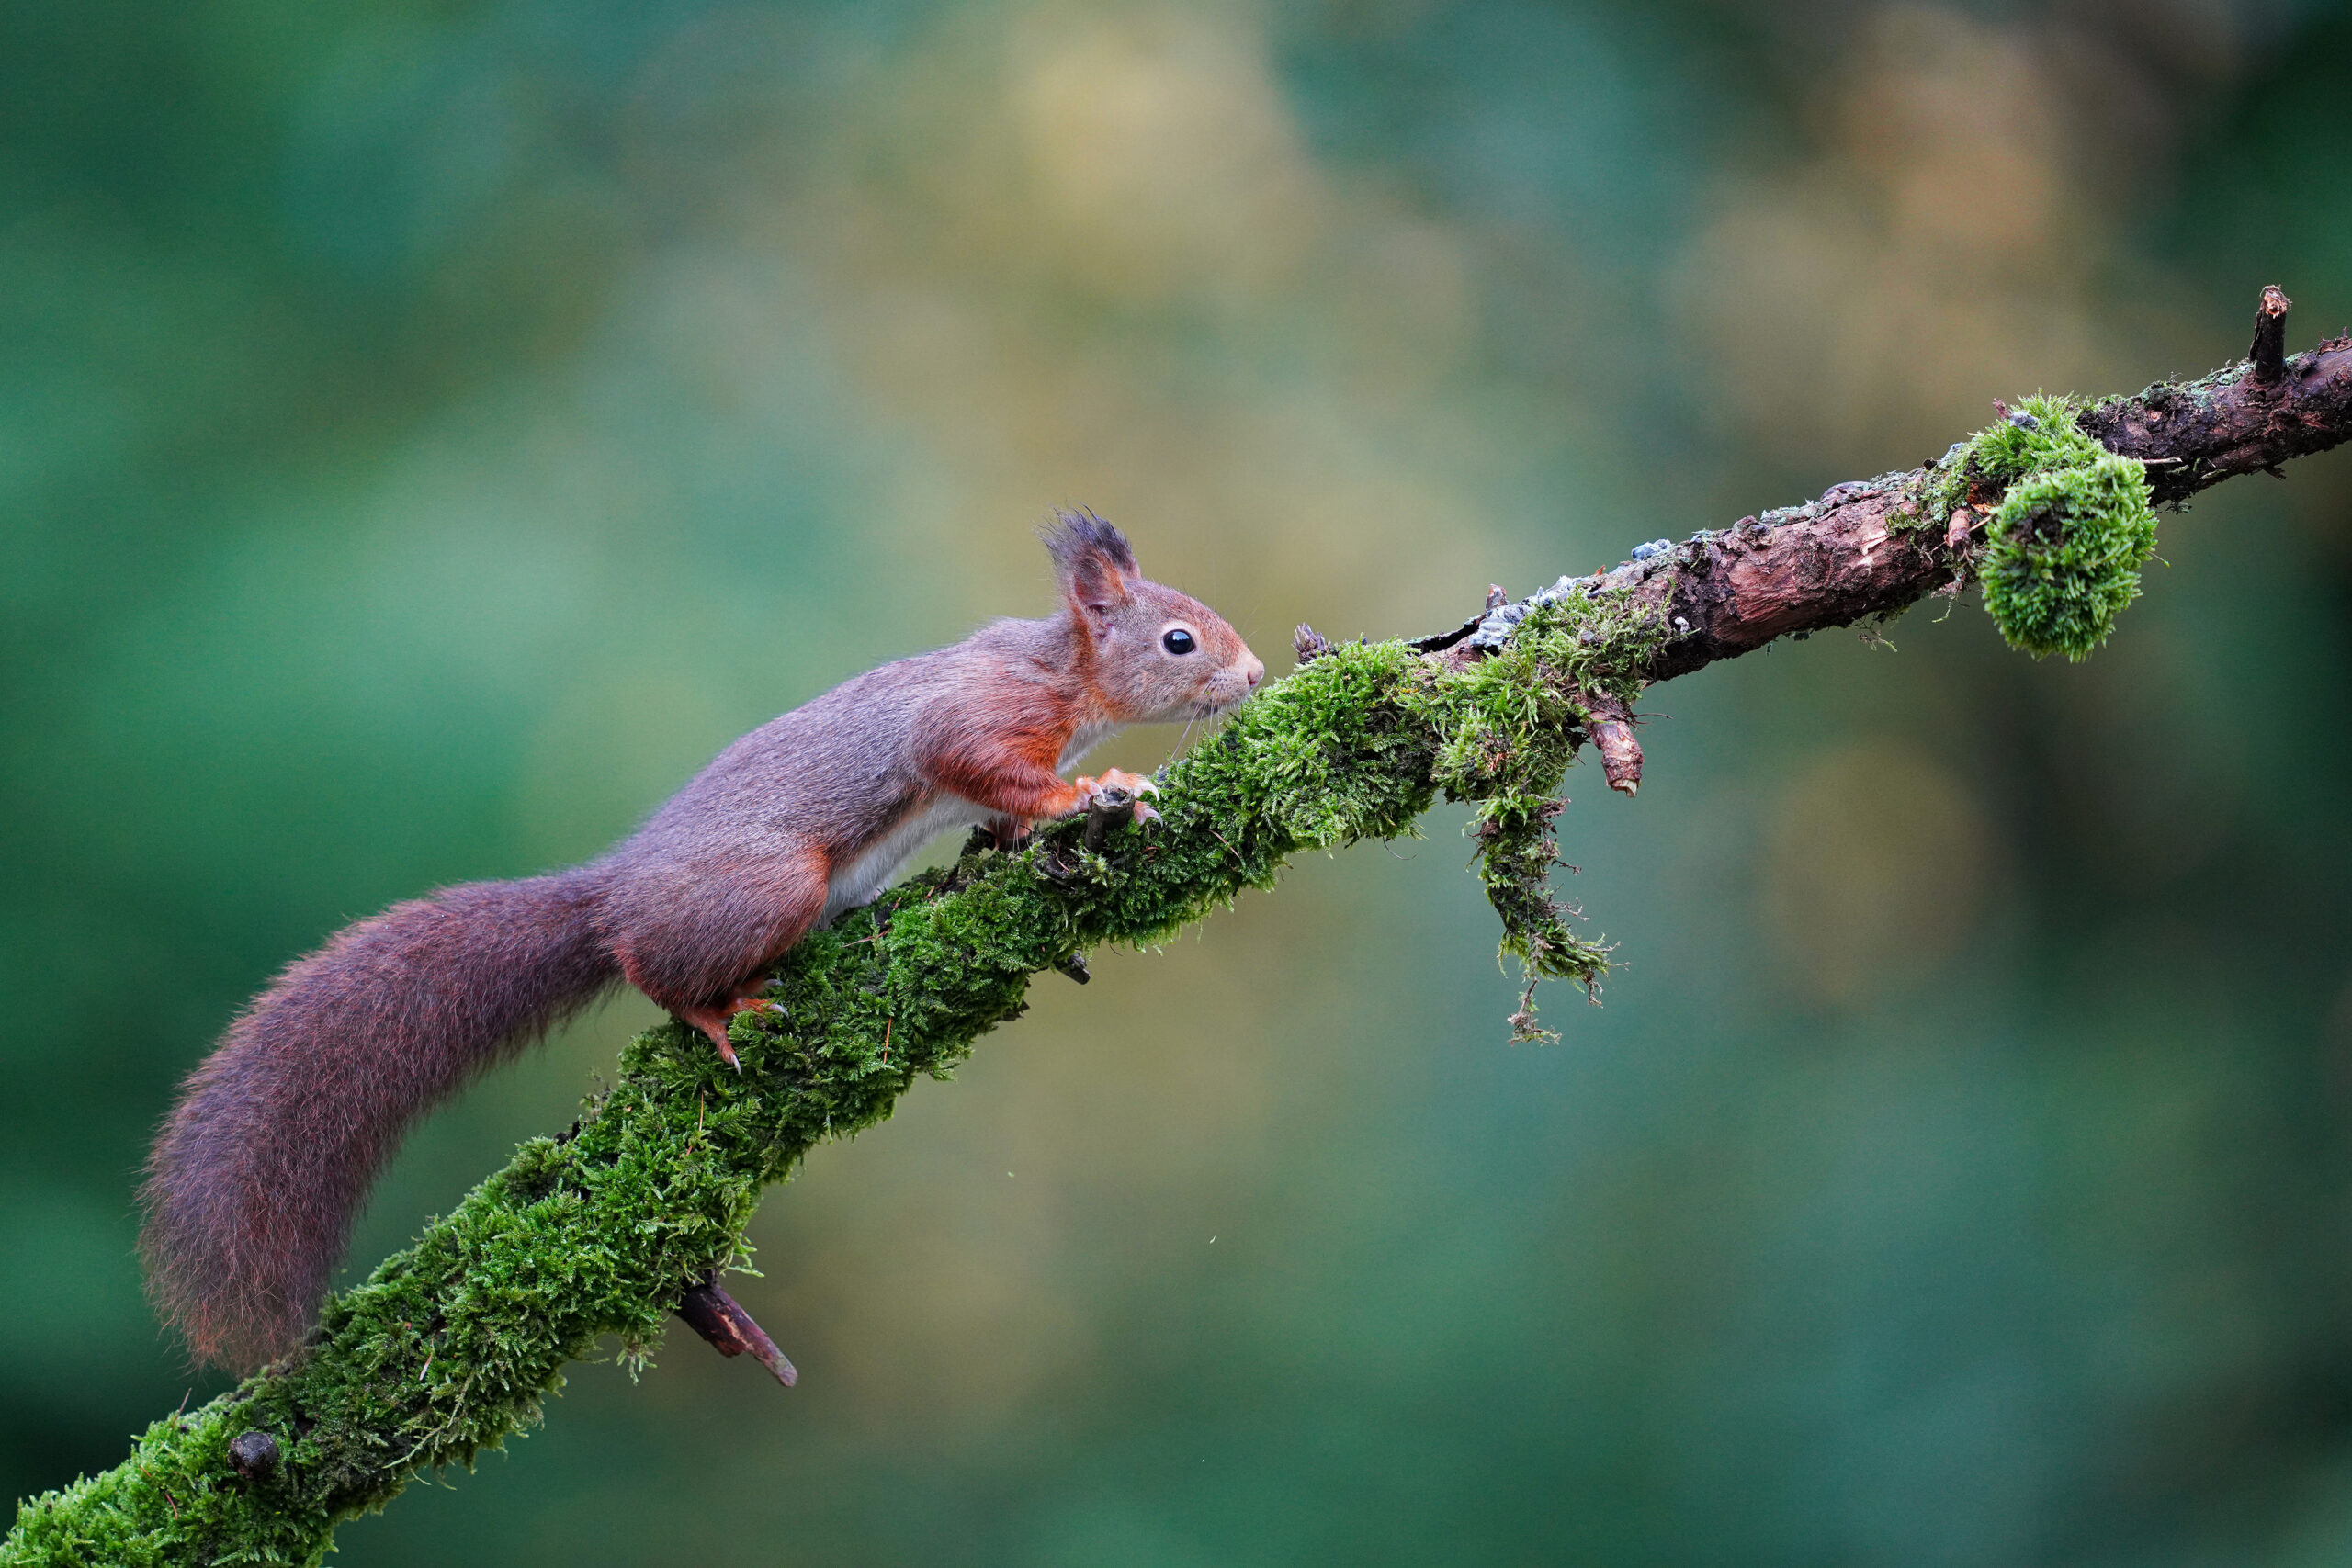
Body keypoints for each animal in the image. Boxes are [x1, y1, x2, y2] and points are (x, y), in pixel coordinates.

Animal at [137, 514, 1261, 1372]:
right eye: (1178, 641)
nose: (1252, 676)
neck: (1062, 673)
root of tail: (613, 894)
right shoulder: (981, 717)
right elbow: (985, 765)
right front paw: (1095, 791)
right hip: (769, 886)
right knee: (651, 965)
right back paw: (718, 1009)